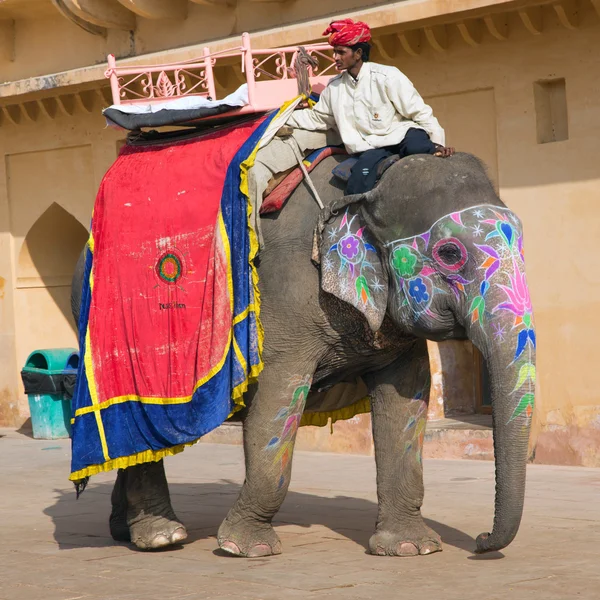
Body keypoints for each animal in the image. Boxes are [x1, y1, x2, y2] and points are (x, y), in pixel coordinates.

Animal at [70, 149, 536, 556]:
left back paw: (126, 530)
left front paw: (410, 548)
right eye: (450, 253)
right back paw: (162, 537)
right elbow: (277, 398)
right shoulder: (286, 297)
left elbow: (406, 402)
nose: (481, 540)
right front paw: (246, 549)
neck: (370, 182)